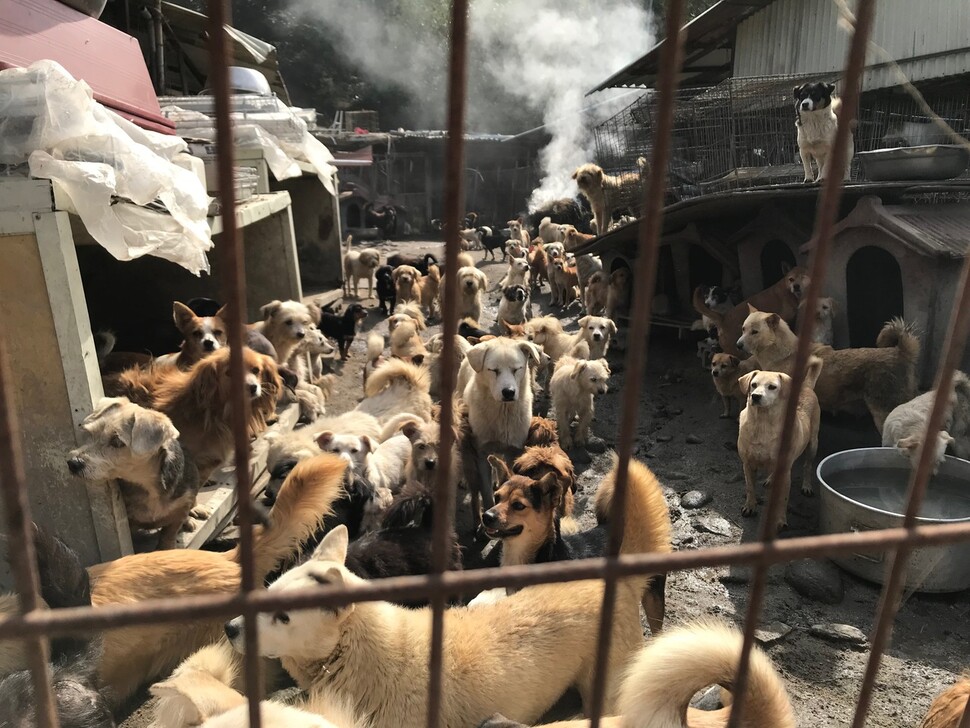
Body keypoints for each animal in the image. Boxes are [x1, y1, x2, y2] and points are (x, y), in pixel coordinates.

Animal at [732, 312, 916, 436]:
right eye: (743, 329)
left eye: (755, 332)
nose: (738, 345)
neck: (783, 353)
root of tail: (899, 352)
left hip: (882, 414)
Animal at [736, 356, 820, 528]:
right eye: (753, 385)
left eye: (772, 387)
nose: (755, 396)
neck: (762, 425)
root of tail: (806, 386)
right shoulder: (747, 465)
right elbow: (750, 488)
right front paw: (750, 507)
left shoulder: (785, 471)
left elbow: (783, 499)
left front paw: (780, 520)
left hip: (813, 445)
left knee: (807, 466)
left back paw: (806, 486)